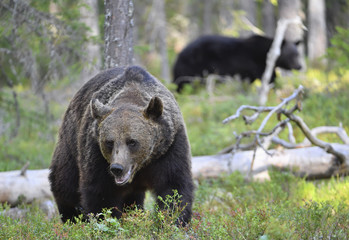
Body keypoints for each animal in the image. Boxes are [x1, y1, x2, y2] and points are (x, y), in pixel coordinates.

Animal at [49, 65, 194, 225]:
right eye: (109, 142)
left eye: (132, 141)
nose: (117, 168)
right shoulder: (96, 152)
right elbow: (101, 193)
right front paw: (107, 221)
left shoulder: (169, 147)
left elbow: (173, 186)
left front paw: (172, 221)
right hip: (71, 139)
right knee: (65, 183)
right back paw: (72, 218)